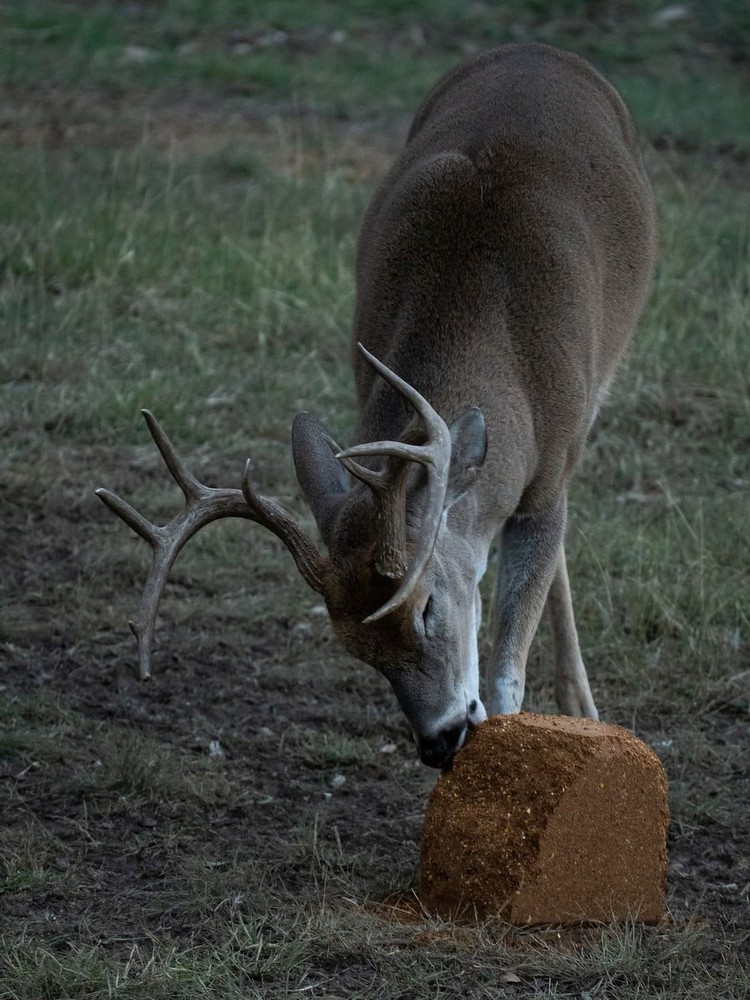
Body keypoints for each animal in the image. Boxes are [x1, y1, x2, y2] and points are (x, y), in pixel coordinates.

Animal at [97, 43, 656, 768]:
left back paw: (582, 708)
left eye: (427, 606)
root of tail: (536, 50)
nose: (441, 741)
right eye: (353, 646)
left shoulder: (550, 472)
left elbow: (507, 668)